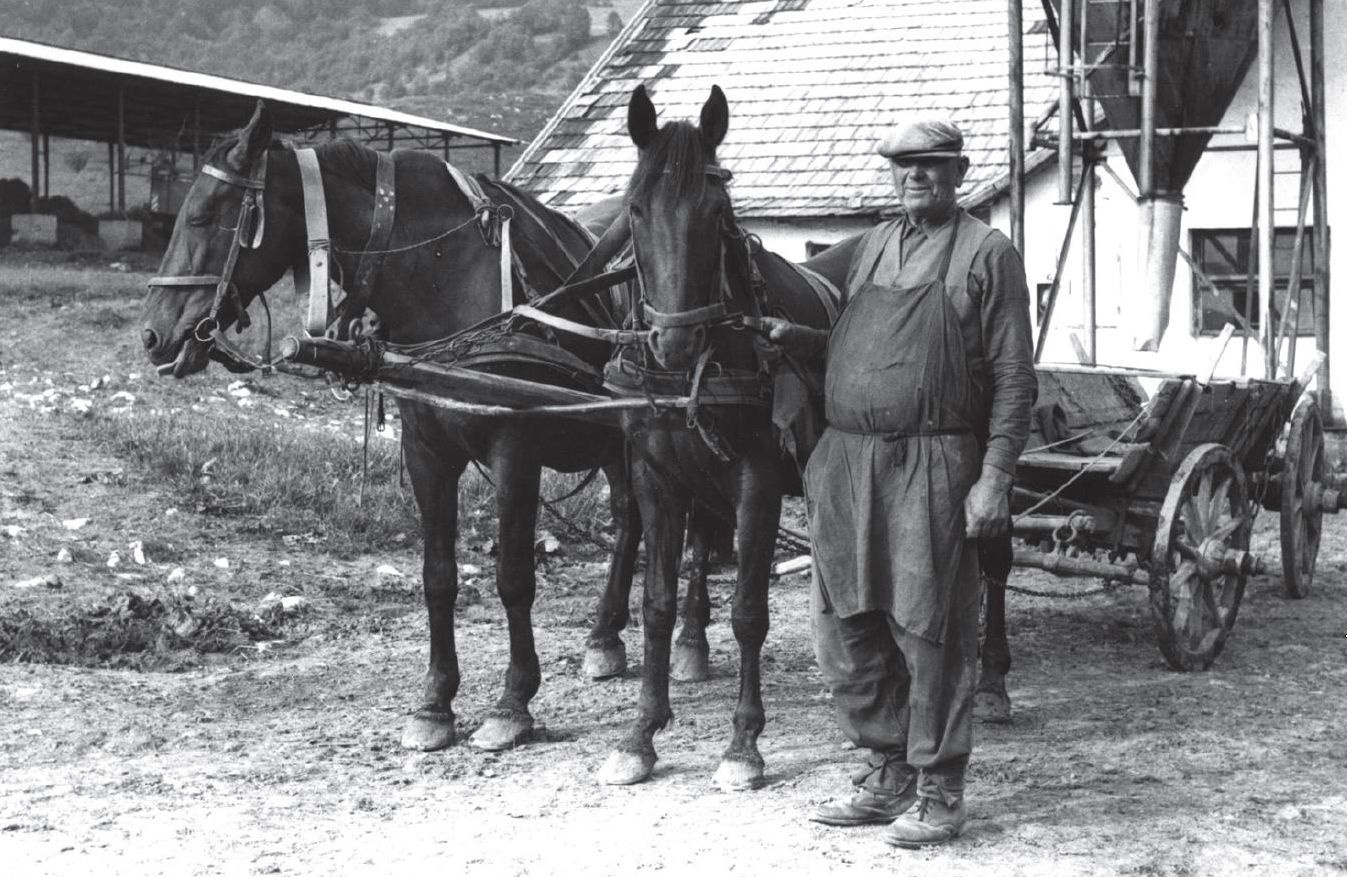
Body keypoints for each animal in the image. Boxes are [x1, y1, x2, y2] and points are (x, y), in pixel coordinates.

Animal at [139, 99, 727, 749]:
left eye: (203, 216)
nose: (154, 334)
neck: (447, 277)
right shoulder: (426, 451)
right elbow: (438, 577)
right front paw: (435, 703)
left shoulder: (514, 450)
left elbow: (514, 577)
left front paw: (513, 702)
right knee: (629, 520)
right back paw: (605, 637)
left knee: (696, 525)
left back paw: (691, 639)